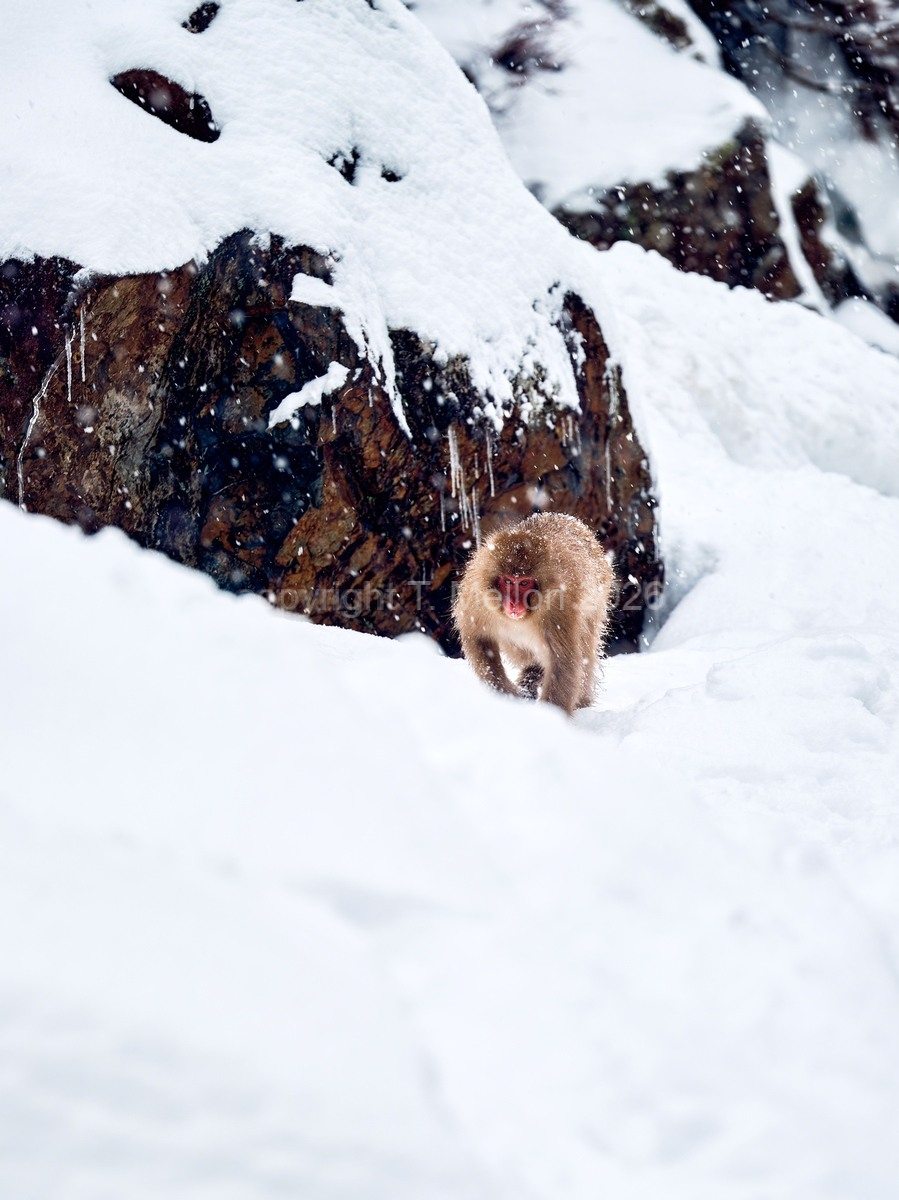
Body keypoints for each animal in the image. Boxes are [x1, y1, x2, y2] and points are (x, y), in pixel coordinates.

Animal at [453, 512, 616, 715]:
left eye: (524, 583)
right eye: (508, 581)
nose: (513, 603)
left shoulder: (558, 610)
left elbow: (563, 660)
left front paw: (551, 716)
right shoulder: (477, 598)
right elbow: (478, 638)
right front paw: (504, 693)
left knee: (585, 648)